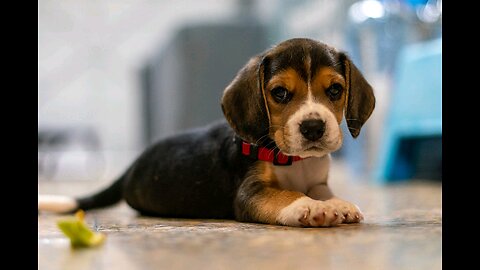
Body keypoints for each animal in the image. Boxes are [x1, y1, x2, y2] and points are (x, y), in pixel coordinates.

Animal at [38, 38, 376, 227]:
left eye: (335, 90)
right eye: (279, 93)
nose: (314, 127)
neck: (294, 161)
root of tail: (132, 167)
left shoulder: (317, 179)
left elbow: (323, 190)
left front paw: (338, 204)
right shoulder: (249, 192)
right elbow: (284, 195)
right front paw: (309, 207)